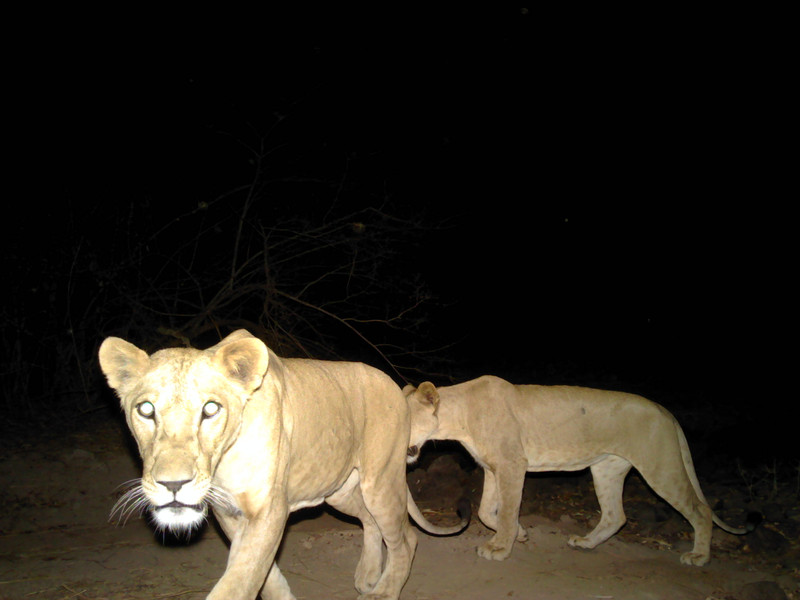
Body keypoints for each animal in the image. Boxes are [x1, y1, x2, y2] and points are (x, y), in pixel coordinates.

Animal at [99, 330, 466, 600]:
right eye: (146, 409)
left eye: (210, 409)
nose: (173, 485)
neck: (222, 463)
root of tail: (397, 387)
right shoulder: (229, 513)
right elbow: (264, 575)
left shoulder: (267, 510)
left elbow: (240, 581)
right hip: (339, 490)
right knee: (370, 521)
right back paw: (368, 575)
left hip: (380, 479)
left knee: (406, 537)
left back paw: (384, 591)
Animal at [404, 375, 748, 566]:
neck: (459, 418)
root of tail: (666, 412)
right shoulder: (492, 467)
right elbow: (488, 511)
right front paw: (520, 533)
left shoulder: (513, 464)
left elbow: (507, 510)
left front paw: (501, 548)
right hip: (607, 469)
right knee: (615, 516)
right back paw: (586, 543)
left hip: (660, 465)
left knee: (700, 510)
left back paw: (699, 556)